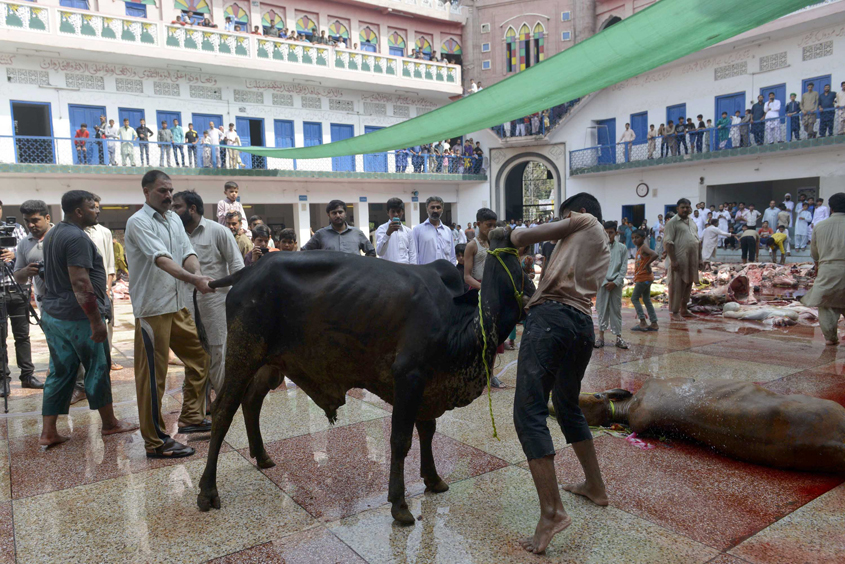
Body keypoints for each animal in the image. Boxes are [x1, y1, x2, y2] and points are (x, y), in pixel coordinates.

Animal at [195, 227, 532, 524]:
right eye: (514, 272)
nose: (502, 232)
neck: (463, 325)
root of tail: (247, 272)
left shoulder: (427, 386)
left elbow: (428, 431)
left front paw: (433, 478)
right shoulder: (409, 377)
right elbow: (400, 440)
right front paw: (399, 504)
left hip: (270, 365)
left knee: (251, 401)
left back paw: (261, 455)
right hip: (242, 353)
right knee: (224, 410)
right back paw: (207, 490)